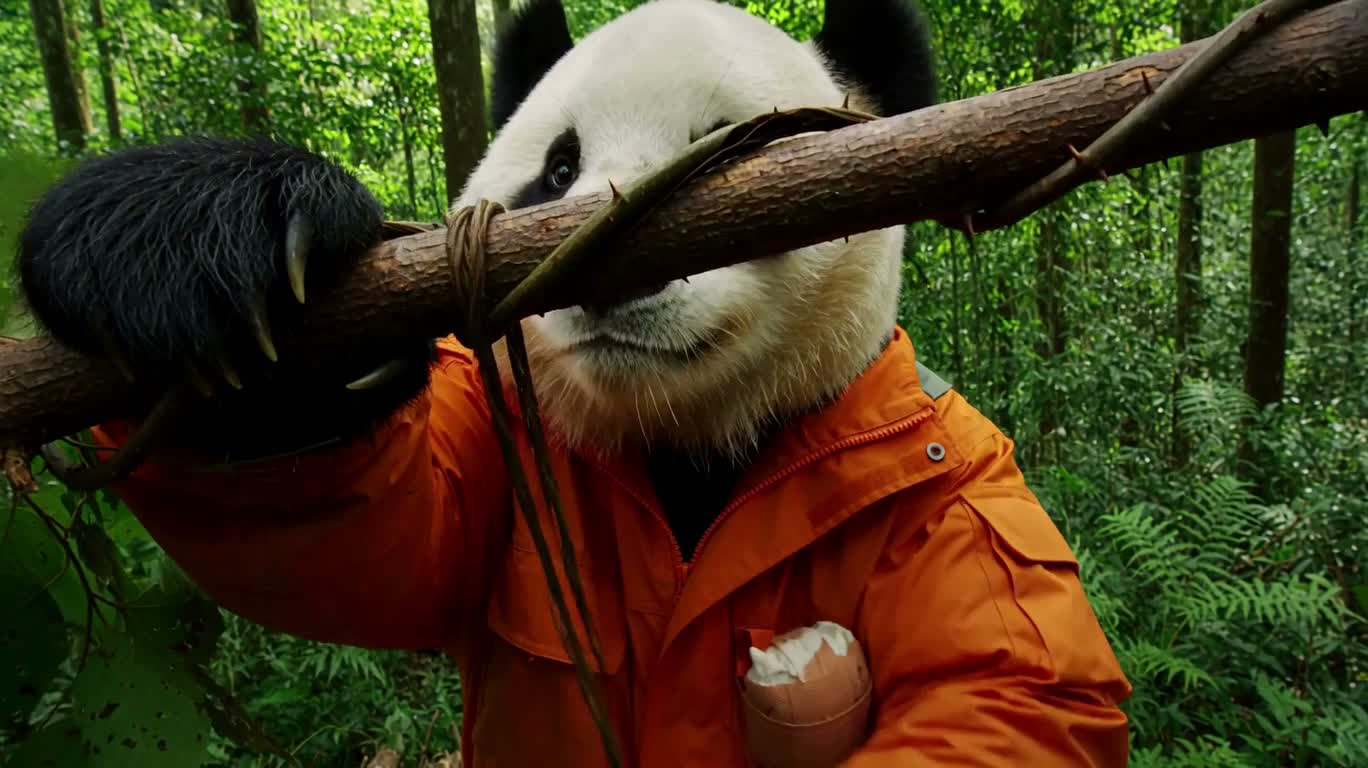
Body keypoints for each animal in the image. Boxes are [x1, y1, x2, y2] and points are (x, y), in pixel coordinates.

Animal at [15, 0, 1132, 765]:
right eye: (556, 169)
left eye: (733, 154)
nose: (613, 271)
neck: (687, 439)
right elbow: (344, 542)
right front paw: (199, 249)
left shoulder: (961, 497)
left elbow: (1007, 685)